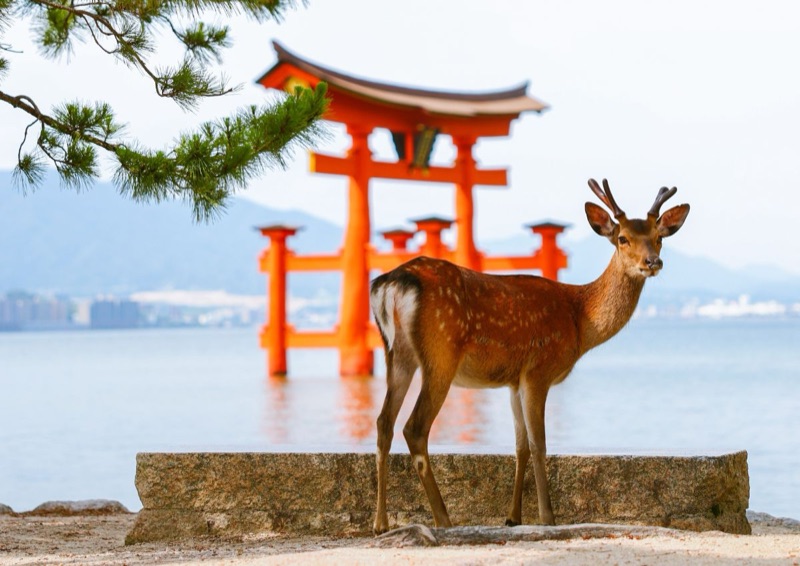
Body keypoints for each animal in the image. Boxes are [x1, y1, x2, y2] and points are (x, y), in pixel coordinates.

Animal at [368, 178, 690, 534]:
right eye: (622, 238)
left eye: (659, 237)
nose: (653, 262)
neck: (579, 320)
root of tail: (391, 283)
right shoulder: (539, 369)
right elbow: (540, 444)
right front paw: (548, 518)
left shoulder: (514, 379)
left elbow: (520, 446)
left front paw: (513, 517)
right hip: (440, 354)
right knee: (414, 428)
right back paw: (443, 519)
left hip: (397, 354)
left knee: (383, 422)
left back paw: (380, 523)